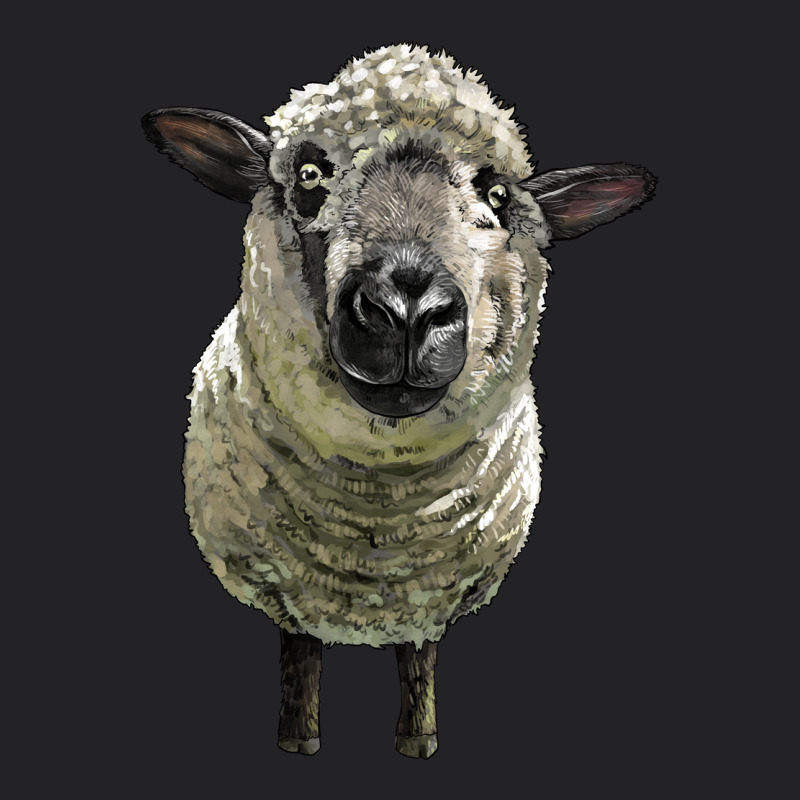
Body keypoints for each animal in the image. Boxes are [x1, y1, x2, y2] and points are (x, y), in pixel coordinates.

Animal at [142, 43, 655, 759]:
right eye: (308, 174)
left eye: (497, 196)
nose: (407, 309)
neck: (376, 523)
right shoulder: (285, 584)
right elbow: (299, 653)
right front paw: (298, 740)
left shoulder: (431, 596)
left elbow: (419, 661)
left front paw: (419, 742)